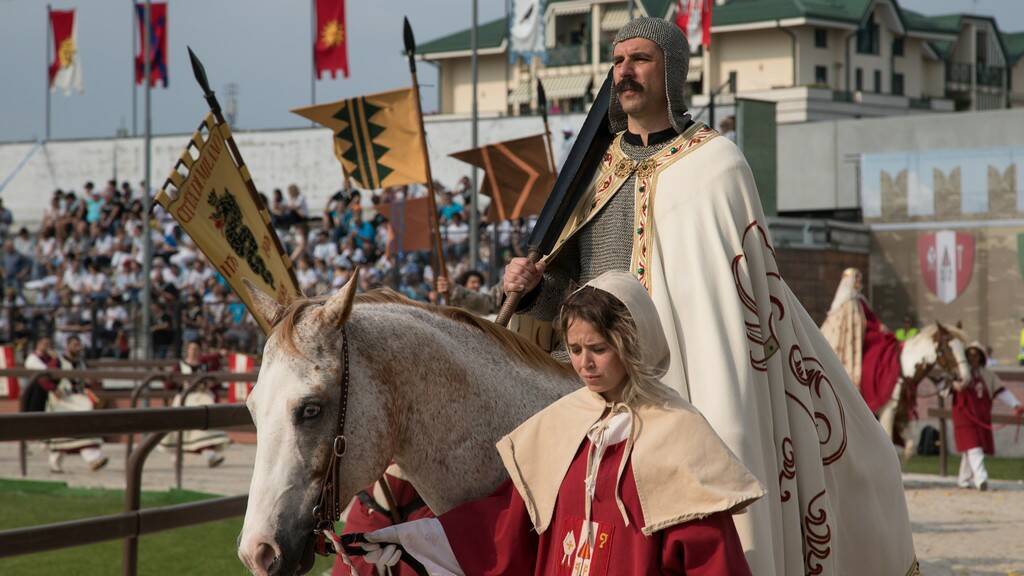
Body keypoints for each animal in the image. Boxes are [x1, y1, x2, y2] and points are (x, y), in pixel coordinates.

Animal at [880, 319, 966, 455]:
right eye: (947, 348)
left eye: (963, 348)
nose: (962, 377)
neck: (904, 373)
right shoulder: (887, 412)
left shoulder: (901, 415)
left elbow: (909, 447)